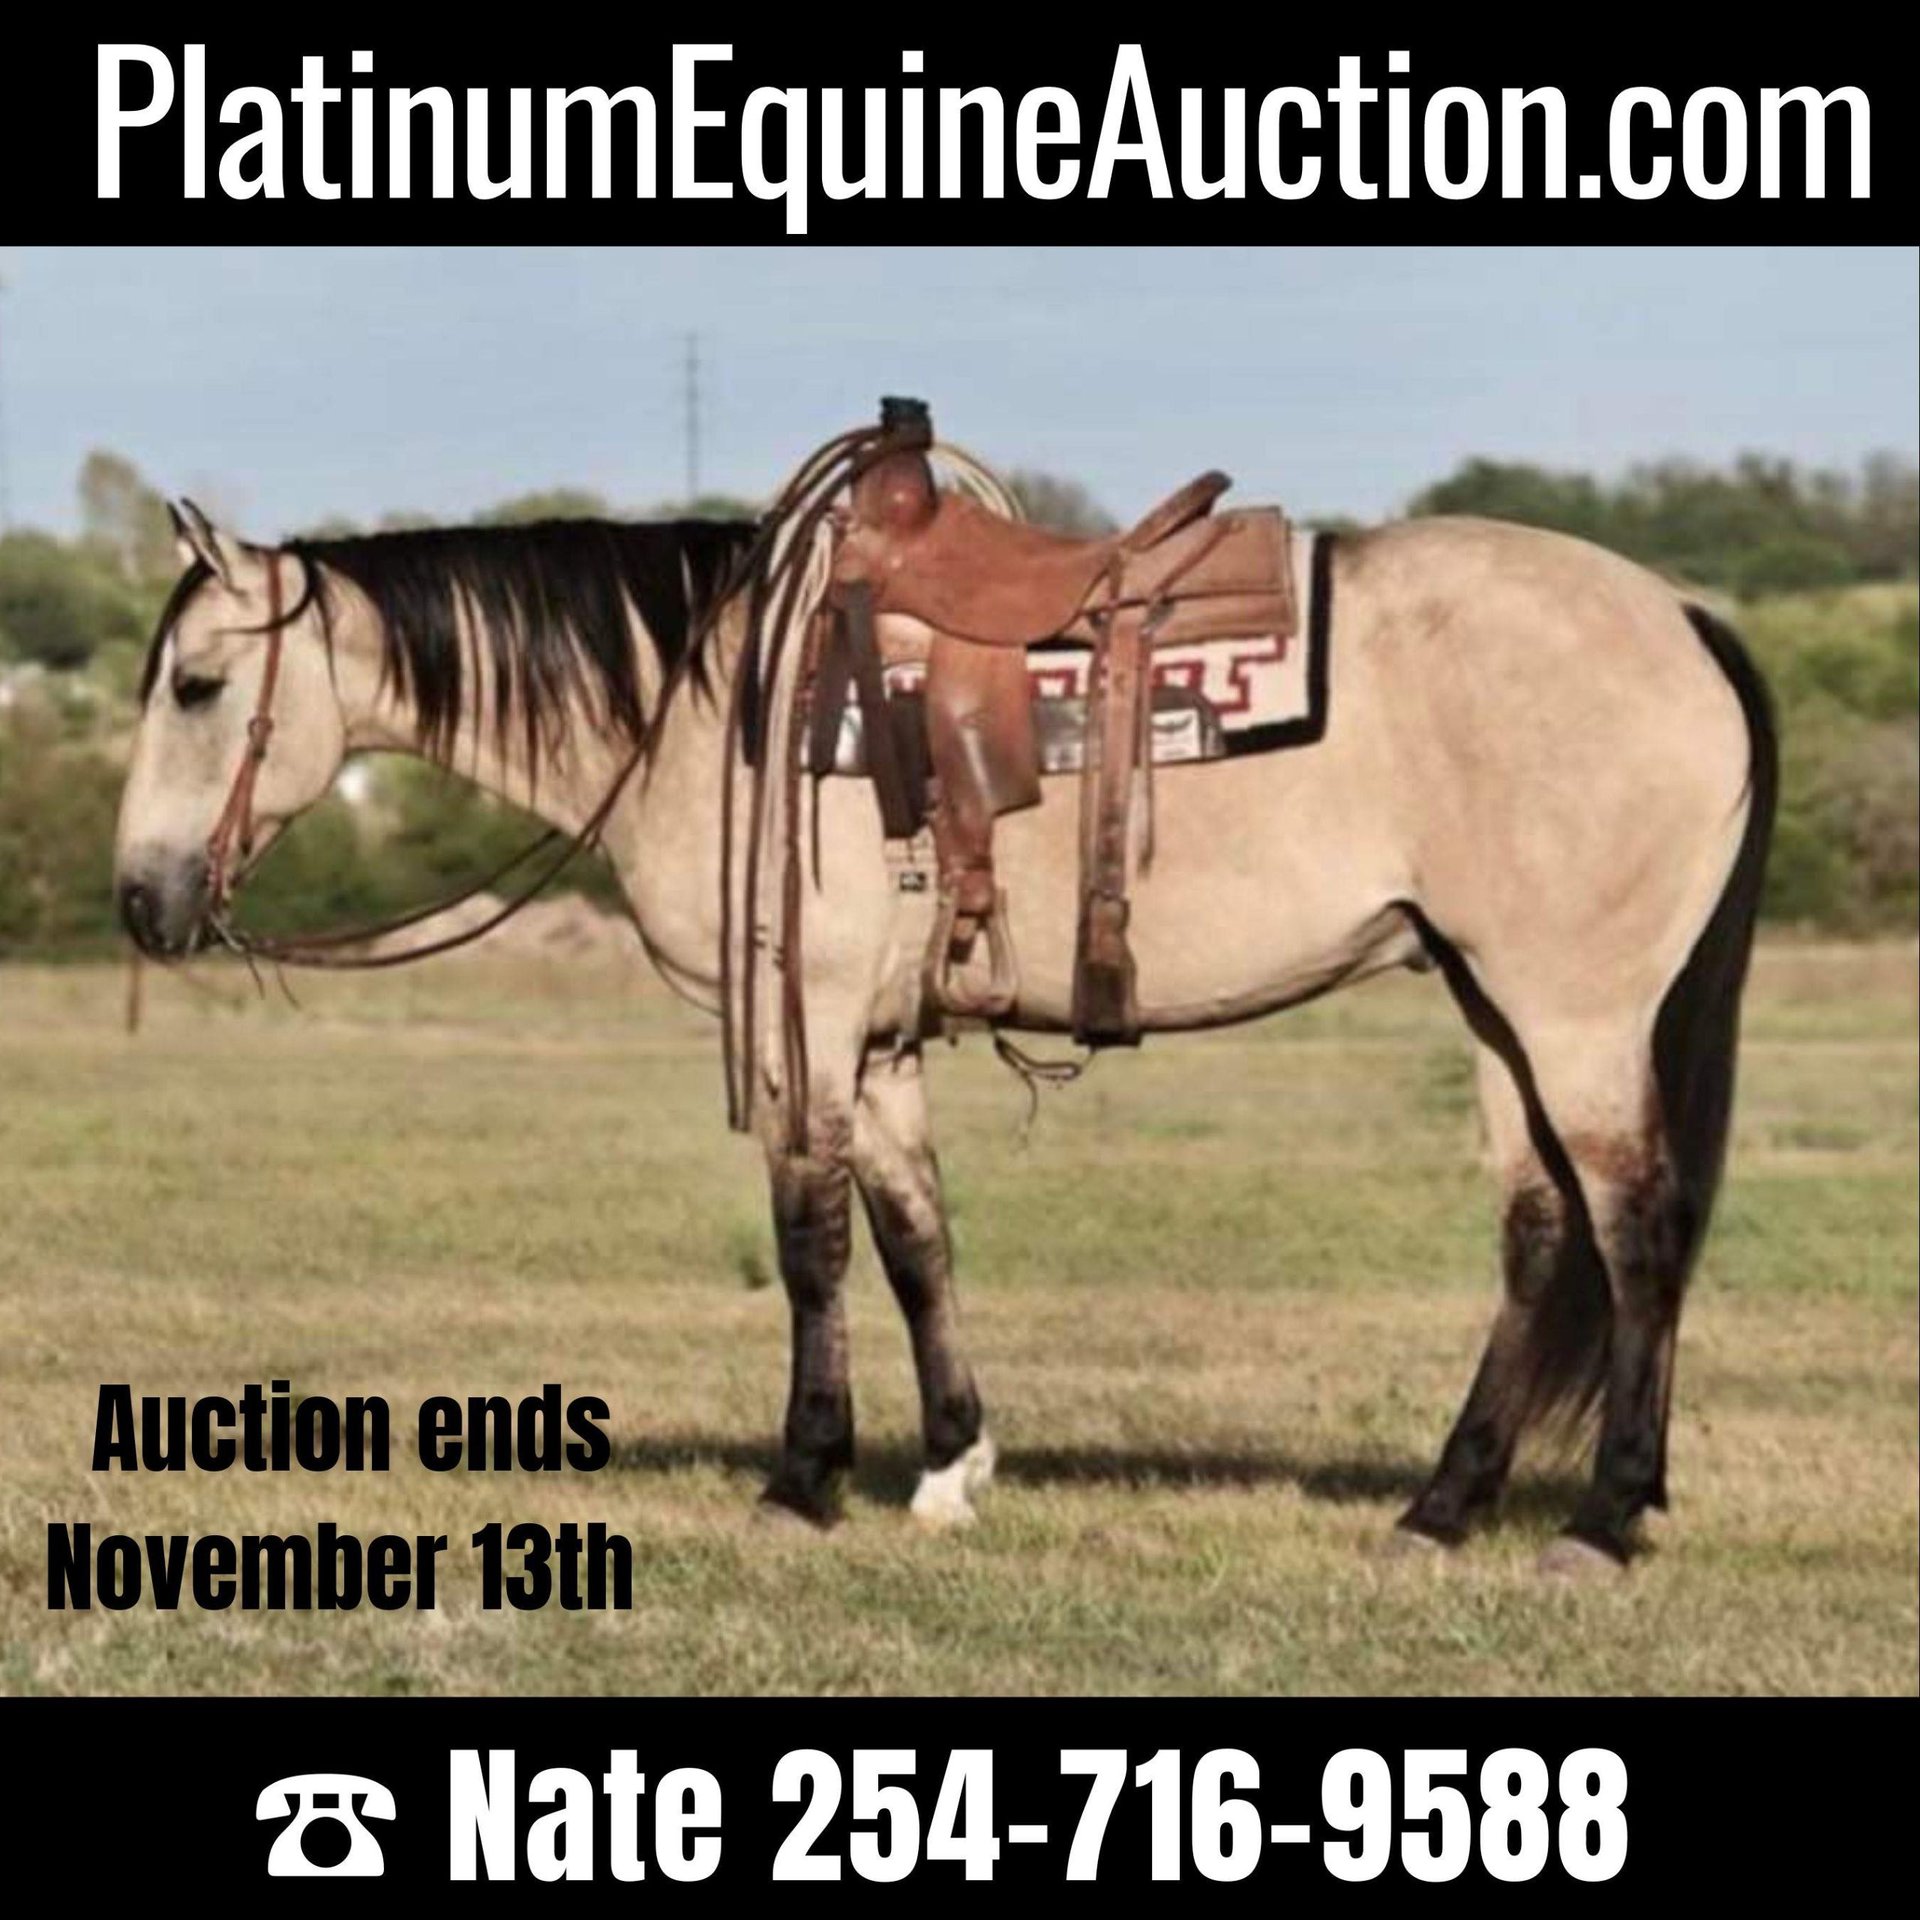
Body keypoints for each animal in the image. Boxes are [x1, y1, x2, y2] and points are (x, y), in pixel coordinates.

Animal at [113, 463, 1776, 1576]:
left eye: (196, 686)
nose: (139, 900)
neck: (720, 705)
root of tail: (1683, 615)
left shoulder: (805, 1023)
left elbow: (811, 1245)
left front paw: (803, 1477)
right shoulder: (880, 1040)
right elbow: (916, 1239)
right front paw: (949, 1466)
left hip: (1572, 1011)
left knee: (1637, 1227)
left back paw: (1603, 1517)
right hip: (1494, 1002)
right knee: (1540, 1236)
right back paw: (1442, 1509)